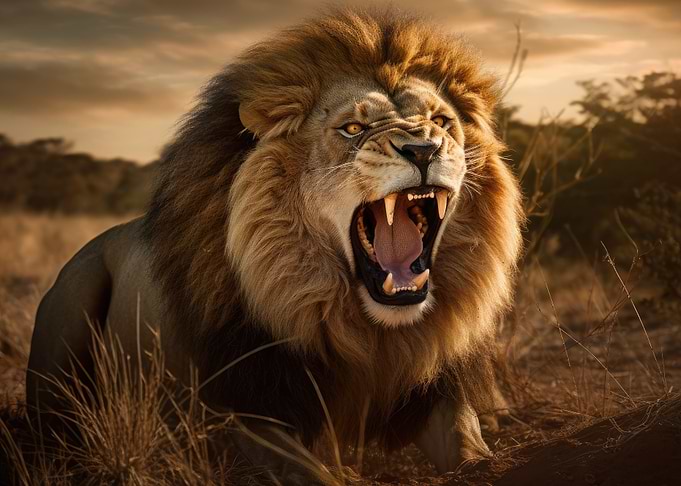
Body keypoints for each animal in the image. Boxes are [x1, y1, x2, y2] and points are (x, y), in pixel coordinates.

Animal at [26, 8, 522, 484]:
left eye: (441, 122)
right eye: (353, 127)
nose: (423, 149)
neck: (372, 333)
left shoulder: (435, 393)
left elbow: (473, 448)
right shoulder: (235, 415)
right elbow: (314, 473)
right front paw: (340, 472)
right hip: (72, 304)